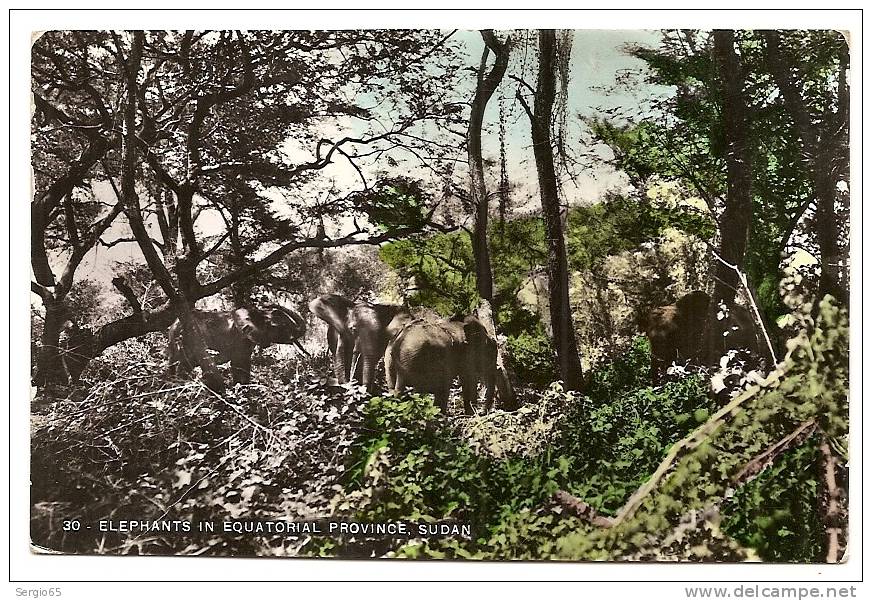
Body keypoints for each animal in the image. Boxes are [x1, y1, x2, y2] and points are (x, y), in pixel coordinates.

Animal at [167, 304, 306, 384]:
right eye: (282, 327)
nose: (268, 303)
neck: (257, 314)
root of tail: (173, 326)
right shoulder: (240, 337)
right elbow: (238, 363)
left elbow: (244, 363)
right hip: (186, 340)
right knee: (185, 364)